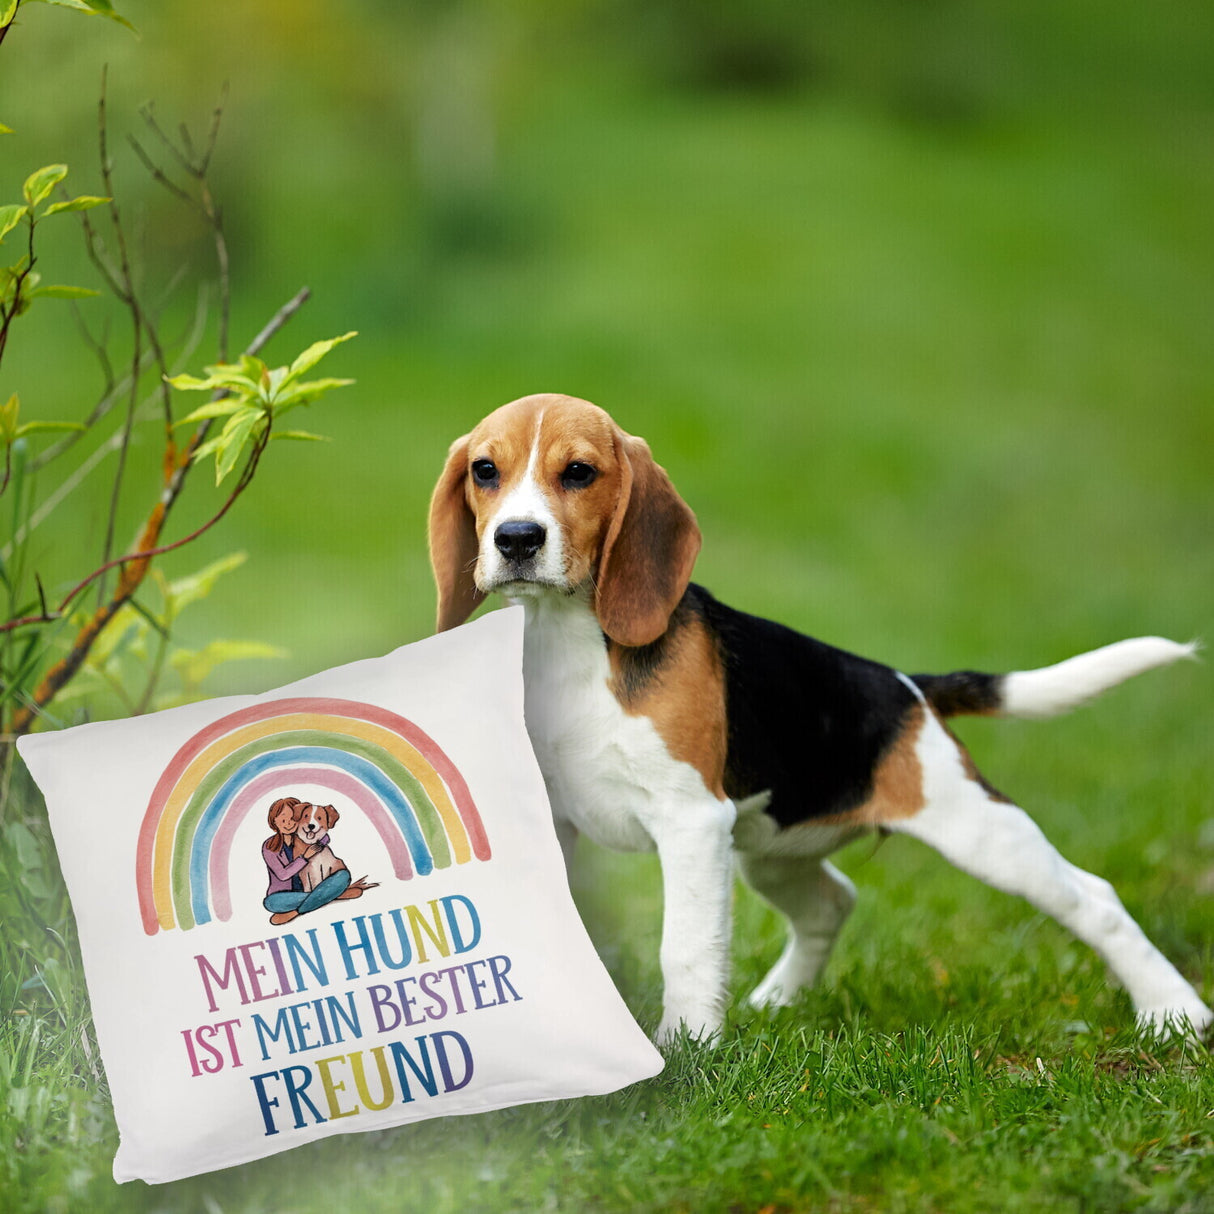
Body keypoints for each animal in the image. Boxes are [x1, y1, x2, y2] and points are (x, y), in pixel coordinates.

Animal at [427, 393, 1214, 1039]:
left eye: (580, 473)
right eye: (485, 471)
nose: (517, 539)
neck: (566, 642)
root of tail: (907, 686)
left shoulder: (692, 824)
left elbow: (686, 948)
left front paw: (685, 1052)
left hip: (978, 831)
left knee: (1093, 899)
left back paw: (1174, 1013)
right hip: (769, 850)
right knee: (832, 902)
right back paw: (778, 1001)